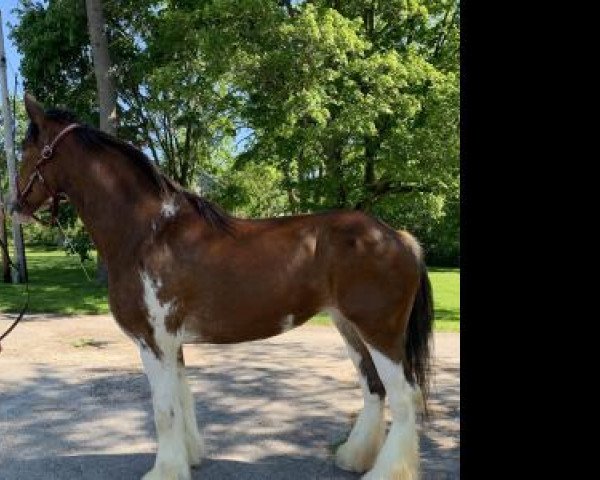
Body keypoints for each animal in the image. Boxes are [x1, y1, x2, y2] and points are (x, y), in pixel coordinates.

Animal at [8, 92, 432, 478]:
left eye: (27, 151)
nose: (14, 208)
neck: (147, 233)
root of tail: (398, 237)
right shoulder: (171, 343)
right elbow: (183, 400)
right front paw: (189, 458)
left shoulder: (152, 342)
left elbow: (164, 411)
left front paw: (165, 471)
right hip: (350, 328)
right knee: (375, 390)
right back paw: (354, 457)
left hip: (380, 333)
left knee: (403, 399)